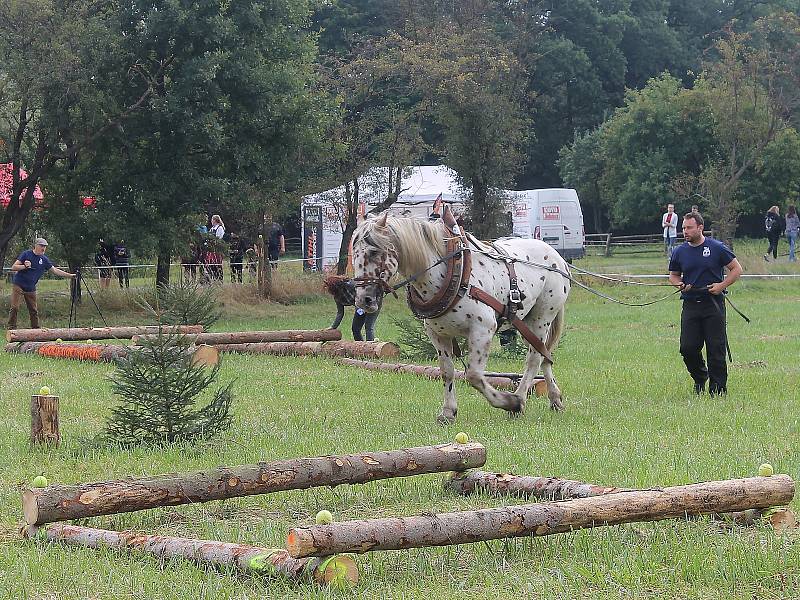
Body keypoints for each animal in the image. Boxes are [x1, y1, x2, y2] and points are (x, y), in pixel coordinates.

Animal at [350, 211, 568, 422]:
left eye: (374, 252)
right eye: (354, 253)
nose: (363, 300)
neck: (452, 272)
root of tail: (557, 257)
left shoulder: (483, 330)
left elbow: (473, 375)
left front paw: (508, 401)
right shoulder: (438, 335)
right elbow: (447, 372)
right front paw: (448, 411)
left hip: (542, 318)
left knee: (534, 358)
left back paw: (519, 400)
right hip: (525, 322)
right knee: (544, 354)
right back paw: (555, 398)